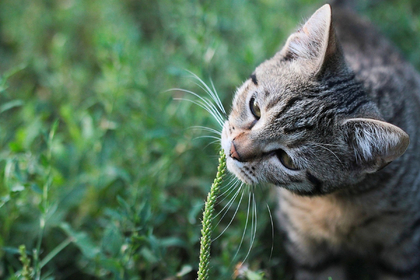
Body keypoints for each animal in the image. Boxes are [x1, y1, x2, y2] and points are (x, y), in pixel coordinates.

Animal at [220, 2, 420, 280]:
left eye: (286, 160)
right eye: (255, 108)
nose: (234, 151)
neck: (341, 202)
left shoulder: (405, 247)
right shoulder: (307, 246)